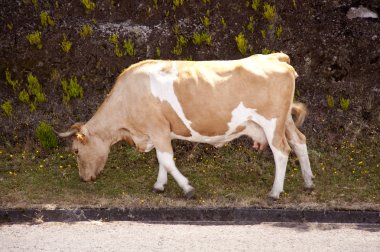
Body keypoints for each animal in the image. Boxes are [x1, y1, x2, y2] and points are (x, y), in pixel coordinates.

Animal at [58, 52, 314, 199]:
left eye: (76, 151)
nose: (84, 178)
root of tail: (274, 57)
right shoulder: (161, 133)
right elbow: (162, 161)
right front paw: (159, 186)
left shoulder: (157, 129)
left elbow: (167, 160)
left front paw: (187, 189)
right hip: (285, 120)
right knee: (300, 142)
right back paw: (309, 183)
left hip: (271, 122)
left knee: (282, 151)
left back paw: (275, 192)